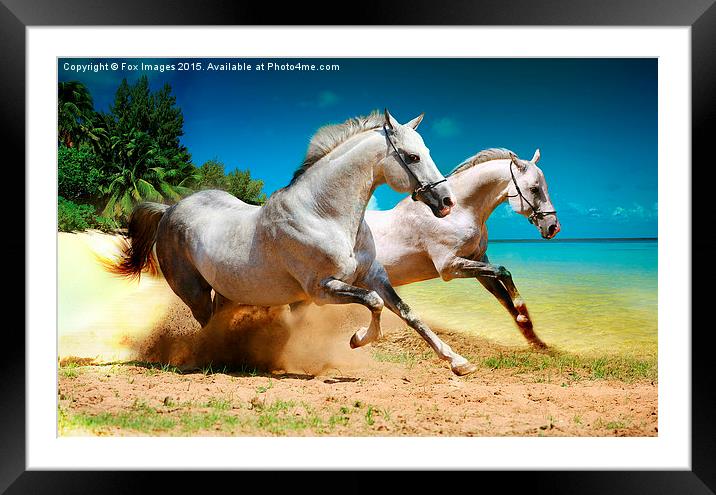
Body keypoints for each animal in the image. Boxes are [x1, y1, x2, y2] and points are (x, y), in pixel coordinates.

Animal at [112, 110, 482, 376]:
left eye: (427, 151)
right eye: (412, 156)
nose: (446, 201)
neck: (323, 214)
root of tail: (169, 209)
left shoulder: (373, 275)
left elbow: (407, 312)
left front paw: (458, 362)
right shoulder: (321, 289)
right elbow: (374, 303)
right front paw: (357, 339)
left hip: (228, 292)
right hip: (194, 293)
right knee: (206, 326)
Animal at [366, 147, 564, 348]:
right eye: (534, 189)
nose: (553, 227)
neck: (457, 213)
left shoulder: (478, 263)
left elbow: (504, 298)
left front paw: (535, 339)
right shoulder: (449, 267)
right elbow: (503, 272)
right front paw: (522, 310)